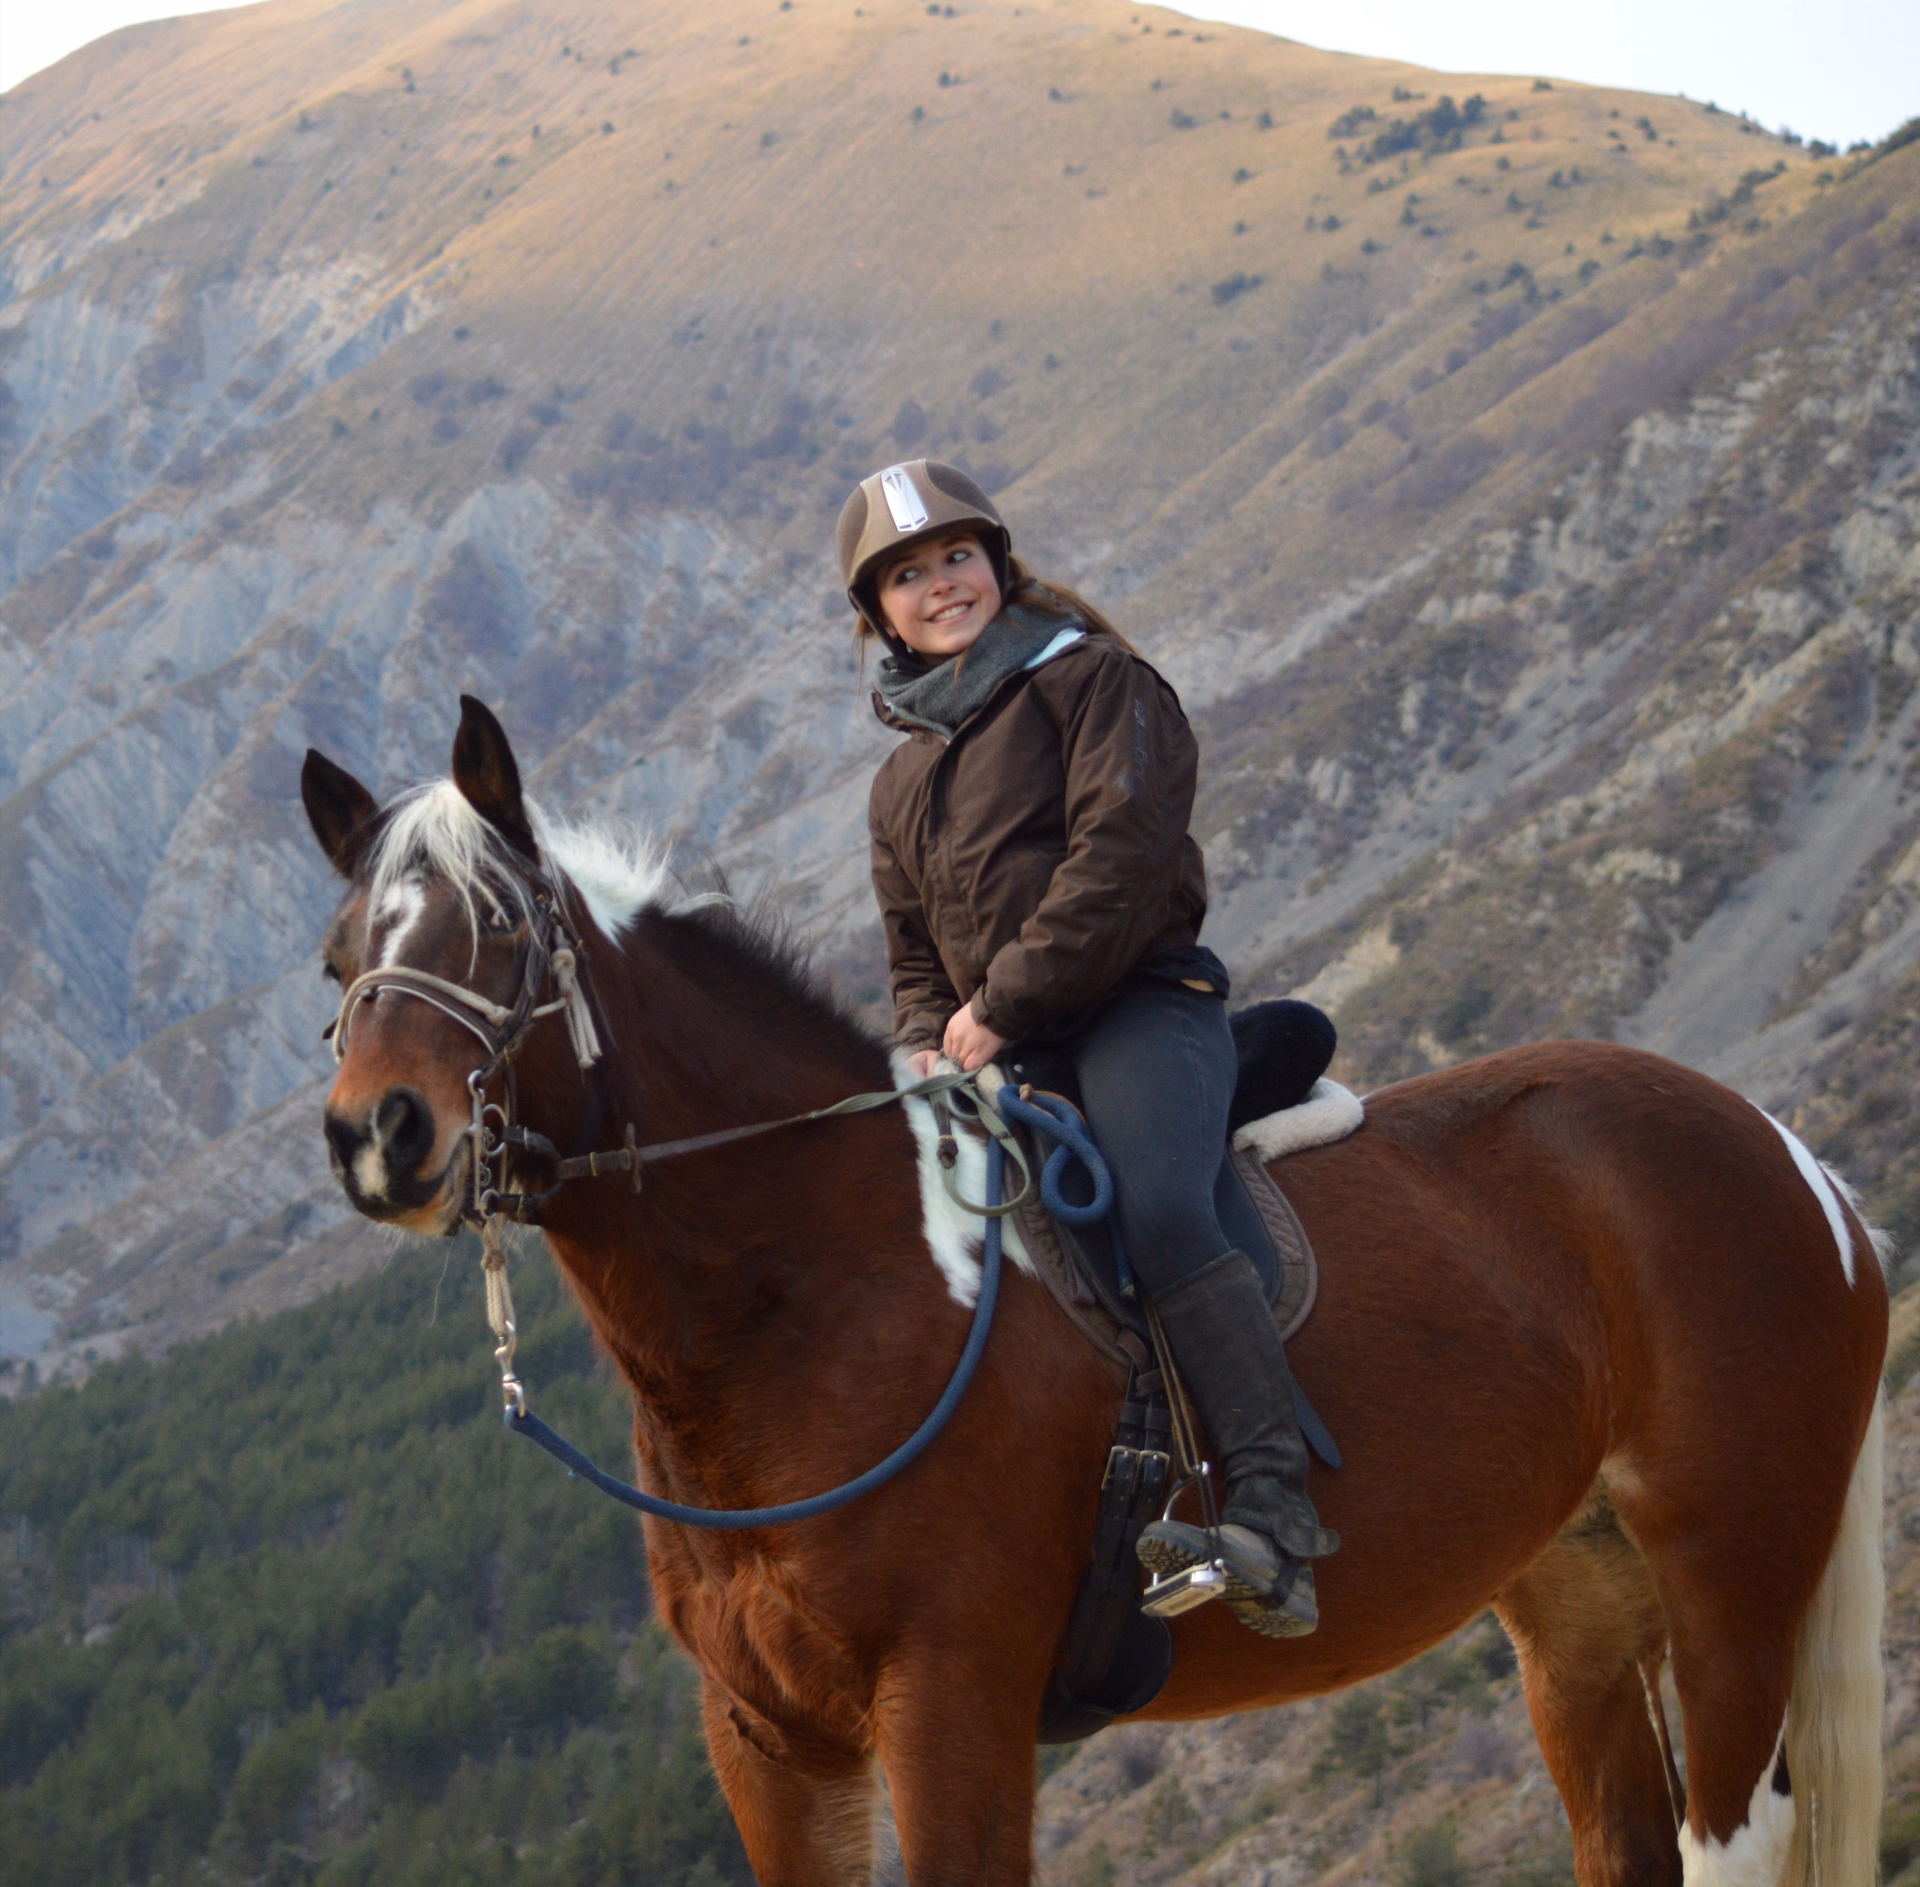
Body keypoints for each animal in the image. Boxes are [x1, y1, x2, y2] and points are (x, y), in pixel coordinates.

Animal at [299, 696, 1887, 1887]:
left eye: (502, 928)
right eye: (337, 959)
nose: (380, 1136)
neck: (812, 1295)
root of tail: (1792, 1155)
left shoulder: (952, 1700)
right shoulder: (769, 1743)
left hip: (1732, 1582)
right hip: (1578, 1611)